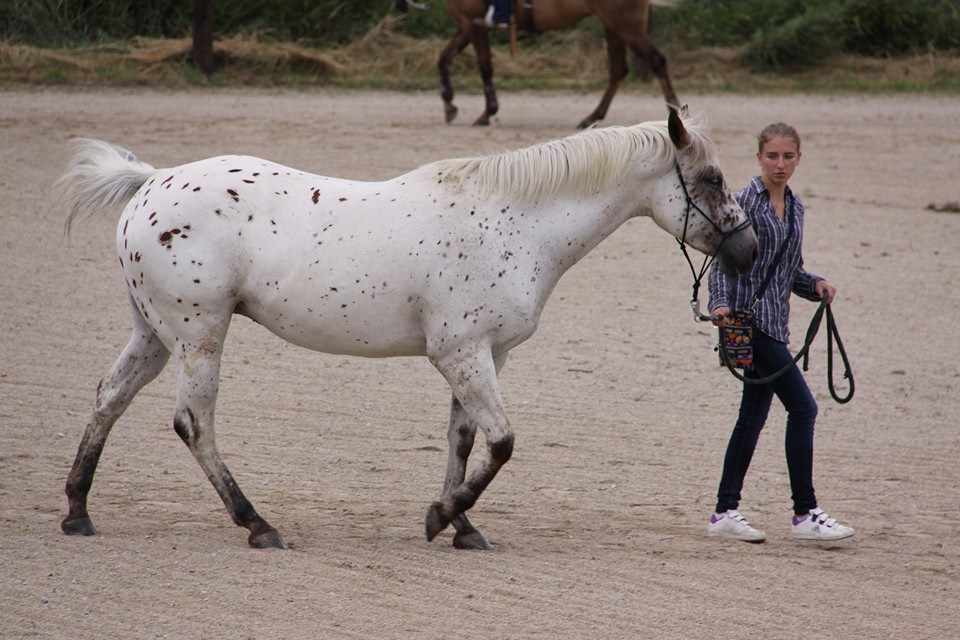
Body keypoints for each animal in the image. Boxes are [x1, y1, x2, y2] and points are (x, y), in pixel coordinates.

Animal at [58, 110, 756, 552]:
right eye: (712, 178)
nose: (749, 250)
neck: (516, 220)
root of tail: (153, 181)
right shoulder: (462, 354)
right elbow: (502, 442)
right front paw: (440, 517)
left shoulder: (483, 355)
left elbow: (465, 440)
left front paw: (462, 527)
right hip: (197, 334)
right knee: (194, 423)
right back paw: (257, 524)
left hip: (155, 335)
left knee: (108, 398)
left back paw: (77, 512)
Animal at [394, 0, 680, 127]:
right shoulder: (466, 27)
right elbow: (443, 59)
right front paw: (449, 104)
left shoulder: (473, 25)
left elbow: (485, 67)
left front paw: (487, 112)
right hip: (614, 25)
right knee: (618, 70)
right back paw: (592, 116)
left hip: (625, 24)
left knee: (657, 61)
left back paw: (676, 111)